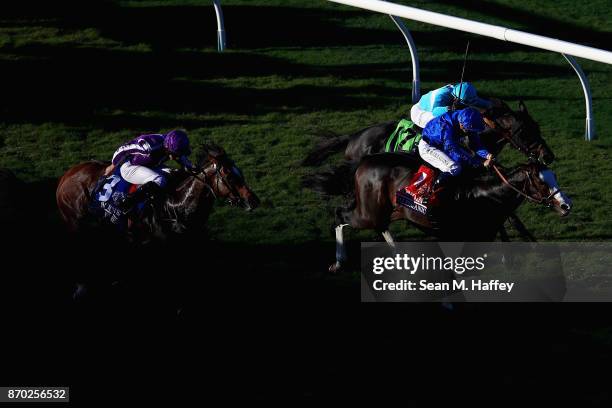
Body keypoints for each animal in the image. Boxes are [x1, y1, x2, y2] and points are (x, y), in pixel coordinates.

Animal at [56, 143, 260, 241]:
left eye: (240, 172)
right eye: (229, 176)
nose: (254, 200)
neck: (174, 207)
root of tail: (66, 176)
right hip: (75, 223)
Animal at [314, 155, 572, 272]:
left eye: (554, 177)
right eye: (541, 182)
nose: (566, 206)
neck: (484, 195)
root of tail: (363, 162)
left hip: (390, 211)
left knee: (381, 226)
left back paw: (400, 258)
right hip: (368, 212)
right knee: (340, 216)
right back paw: (338, 262)